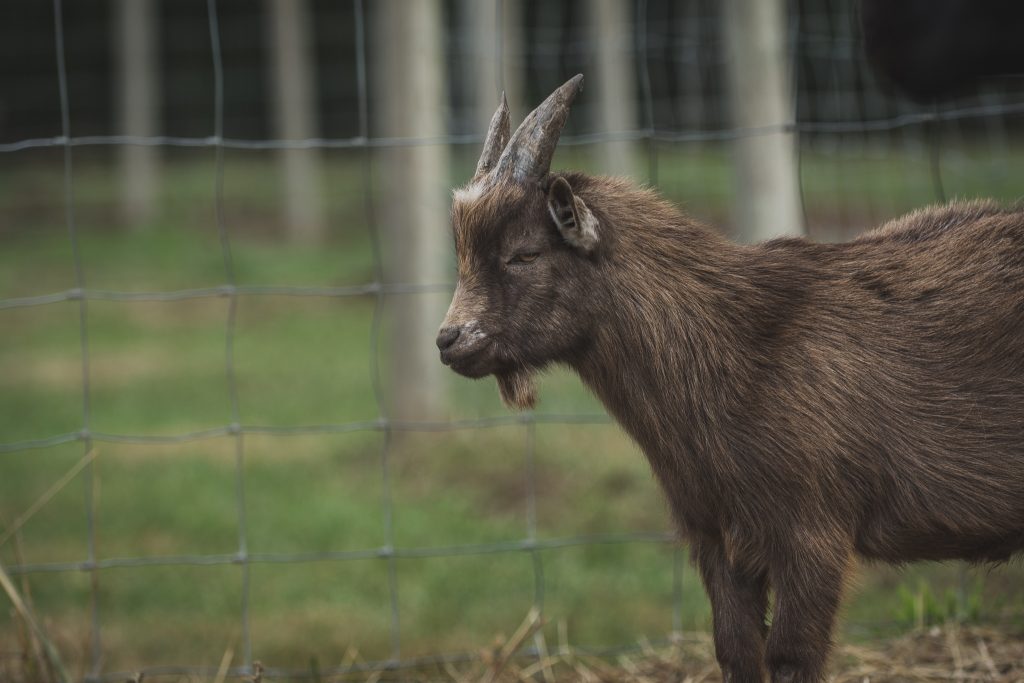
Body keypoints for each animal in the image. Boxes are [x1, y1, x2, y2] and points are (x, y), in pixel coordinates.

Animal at [436, 76, 1024, 683]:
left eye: (524, 254)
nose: (450, 340)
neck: (735, 347)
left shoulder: (811, 534)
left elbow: (790, 657)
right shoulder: (718, 538)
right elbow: (736, 651)